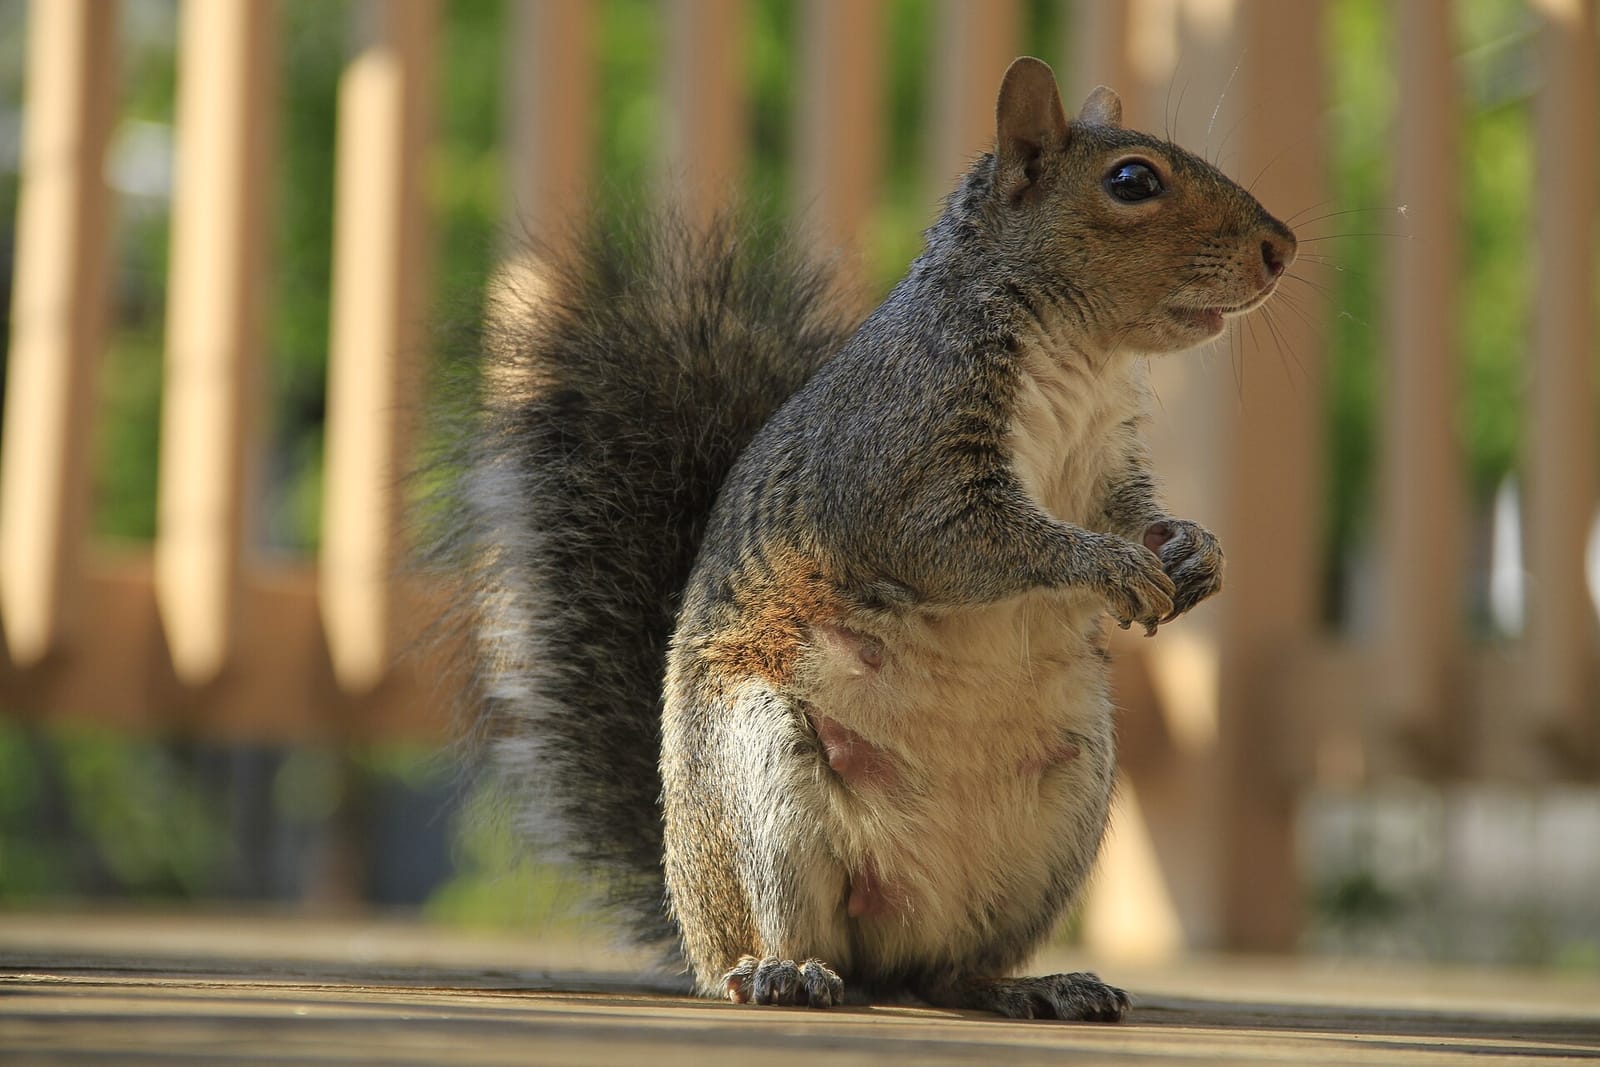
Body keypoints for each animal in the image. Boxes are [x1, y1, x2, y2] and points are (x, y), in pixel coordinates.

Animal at [456, 56, 1295, 1020]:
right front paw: (1105, 563)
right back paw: (782, 970)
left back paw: (1032, 983)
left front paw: (1194, 552)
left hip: (1067, 801)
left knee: (949, 970)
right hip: (762, 773)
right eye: (1132, 182)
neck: (1081, 356)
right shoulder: (901, 453)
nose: (1283, 247)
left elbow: (1137, 513)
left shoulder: (1107, 465)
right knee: (783, 931)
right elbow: (963, 539)